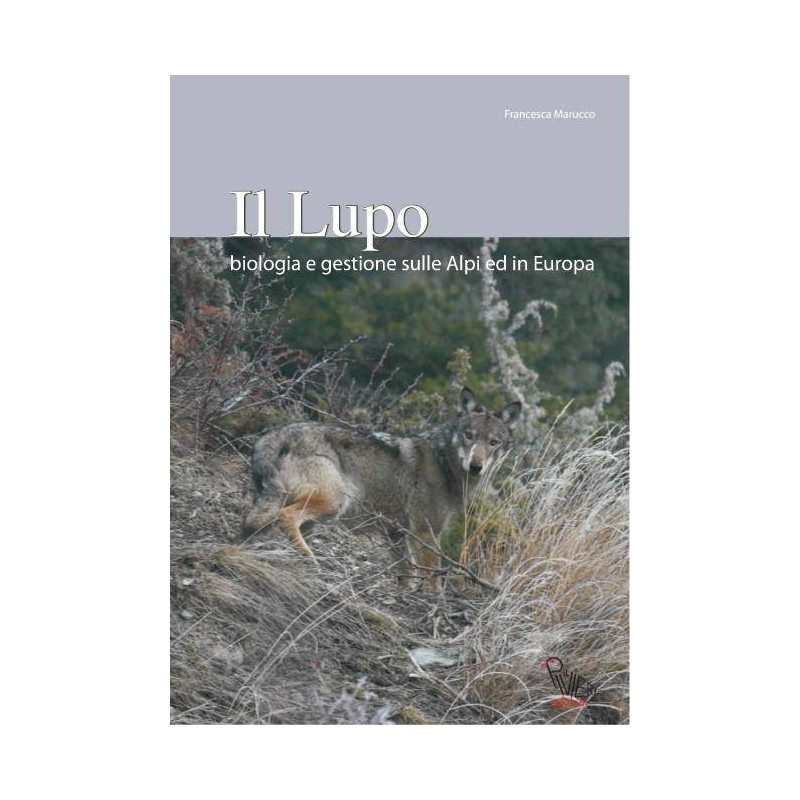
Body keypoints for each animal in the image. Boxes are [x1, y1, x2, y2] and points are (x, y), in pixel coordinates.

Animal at [241, 388, 521, 589]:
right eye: (469, 435)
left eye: (493, 442)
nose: (476, 466)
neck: (445, 464)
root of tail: (272, 436)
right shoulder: (425, 532)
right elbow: (433, 577)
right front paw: (434, 603)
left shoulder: (396, 533)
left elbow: (407, 572)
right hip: (334, 502)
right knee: (287, 517)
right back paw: (310, 561)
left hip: (311, 515)